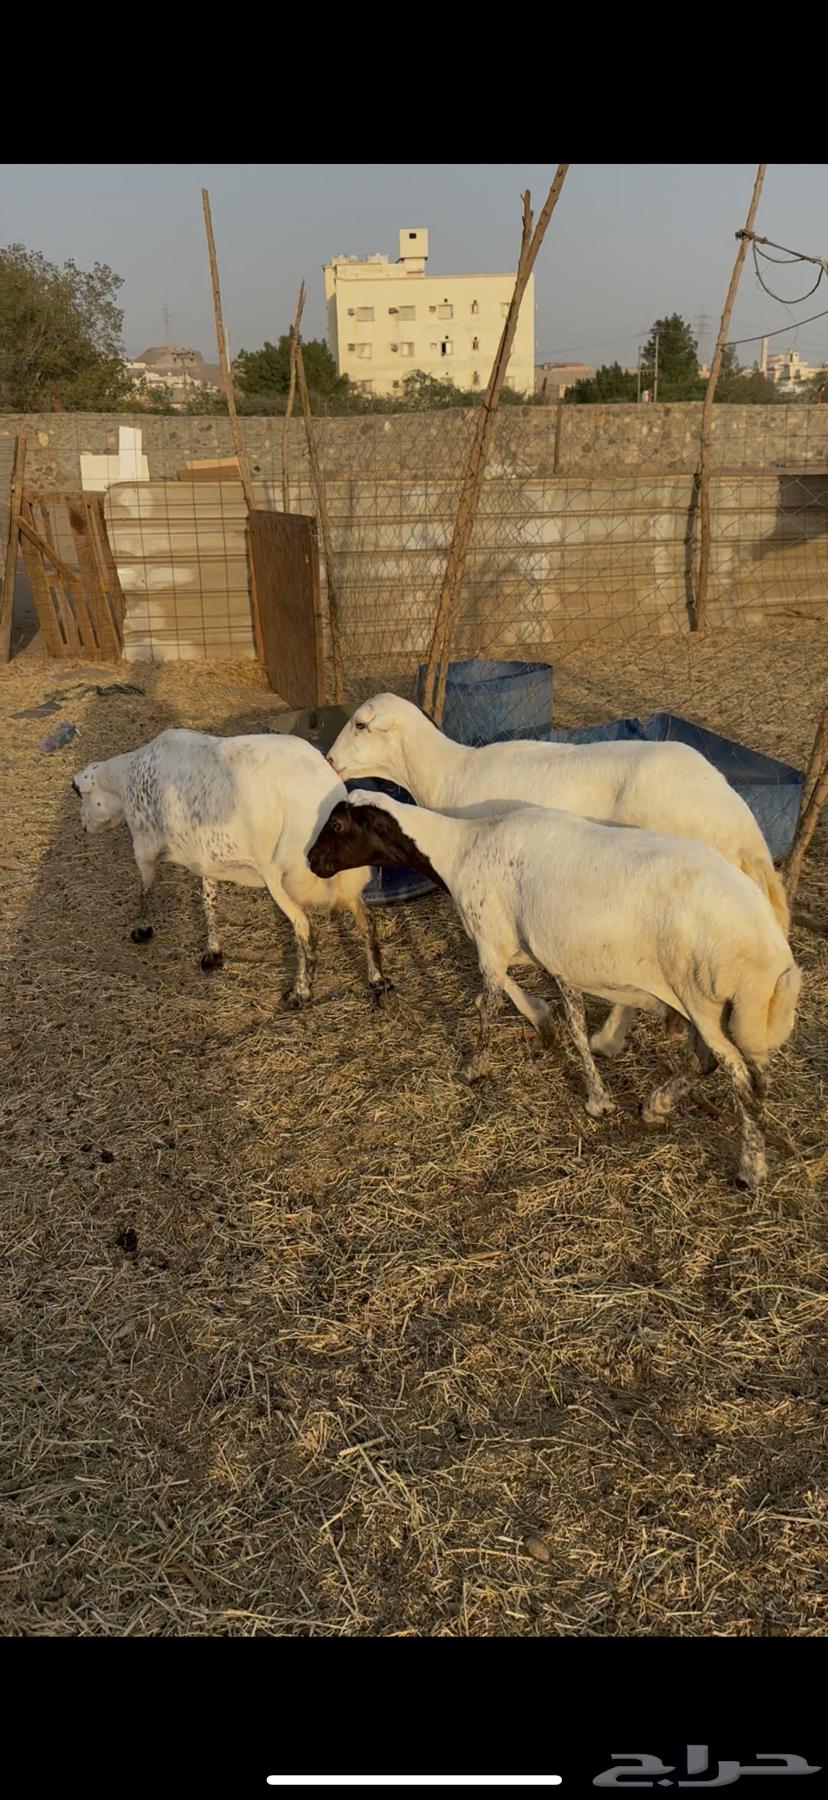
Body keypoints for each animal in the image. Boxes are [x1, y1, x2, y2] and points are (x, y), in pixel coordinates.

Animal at [72, 728, 391, 1008]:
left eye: (82, 795)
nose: (83, 826)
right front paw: (213, 953)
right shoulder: (205, 857)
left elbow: (145, 891)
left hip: (282, 878)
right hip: (350, 876)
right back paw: (377, 981)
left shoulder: (143, 847)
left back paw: (300, 994)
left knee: (307, 932)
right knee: (367, 920)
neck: (126, 777)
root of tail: (327, 793)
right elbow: (208, 902)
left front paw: (141, 930)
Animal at [308, 791, 802, 1190]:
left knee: (738, 1076)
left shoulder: (490, 940)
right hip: (704, 1005)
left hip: (702, 999)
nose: (311, 862)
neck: (462, 850)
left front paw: (475, 1067)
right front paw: (592, 1089)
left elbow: (490, 1004)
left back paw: (750, 1169)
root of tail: (770, 946)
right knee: (706, 1062)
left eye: (338, 825)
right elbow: (572, 1024)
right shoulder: (551, 954)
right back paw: (655, 1105)